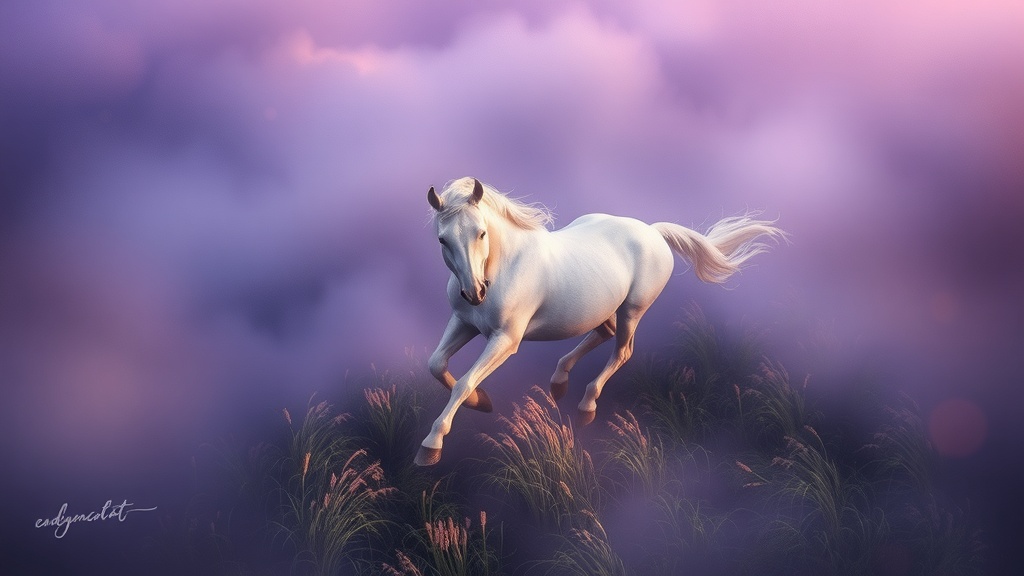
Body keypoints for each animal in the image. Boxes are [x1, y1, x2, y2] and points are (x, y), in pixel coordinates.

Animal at [415, 177, 785, 466]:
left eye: (481, 233)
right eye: (443, 239)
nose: (475, 292)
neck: (505, 264)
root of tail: (653, 232)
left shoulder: (505, 340)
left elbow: (465, 381)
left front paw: (432, 444)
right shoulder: (463, 322)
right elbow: (436, 364)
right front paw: (482, 402)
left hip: (632, 310)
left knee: (622, 351)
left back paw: (586, 405)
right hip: (604, 308)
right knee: (603, 334)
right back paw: (559, 381)